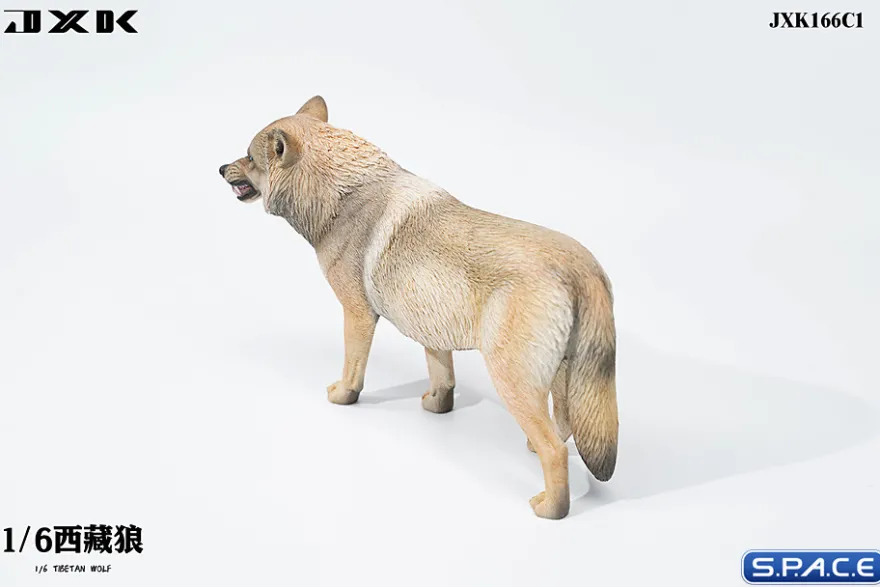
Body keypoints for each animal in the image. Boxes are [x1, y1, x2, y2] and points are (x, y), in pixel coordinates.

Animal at [219, 95, 618, 519]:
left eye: (248, 157)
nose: (219, 168)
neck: (342, 195)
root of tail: (585, 268)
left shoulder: (358, 315)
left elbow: (353, 369)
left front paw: (344, 395)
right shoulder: (432, 329)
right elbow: (443, 379)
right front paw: (437, 407)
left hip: (513, 381)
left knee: (555, 450)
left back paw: (551, 508)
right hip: (561, 378)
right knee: (563, 426)